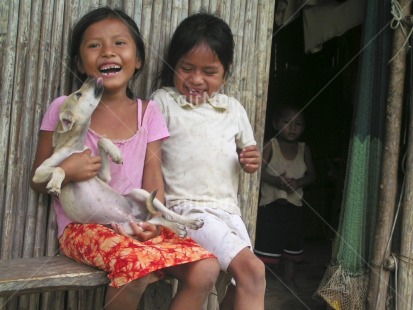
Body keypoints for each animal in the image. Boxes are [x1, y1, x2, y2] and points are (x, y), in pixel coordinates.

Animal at [33, 78, 203, 237]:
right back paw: (178, 228)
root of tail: (136, 217)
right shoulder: (38, 173)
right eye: (78, 94)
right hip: (129, 227)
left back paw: (190, 222)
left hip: (141, 193)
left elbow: (101, 140)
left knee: (167, 213)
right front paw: (55, 185)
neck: (75, 146)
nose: (90, 78)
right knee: (157, 220)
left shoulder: (102, 175)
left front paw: (115, 153)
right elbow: (61, 168)